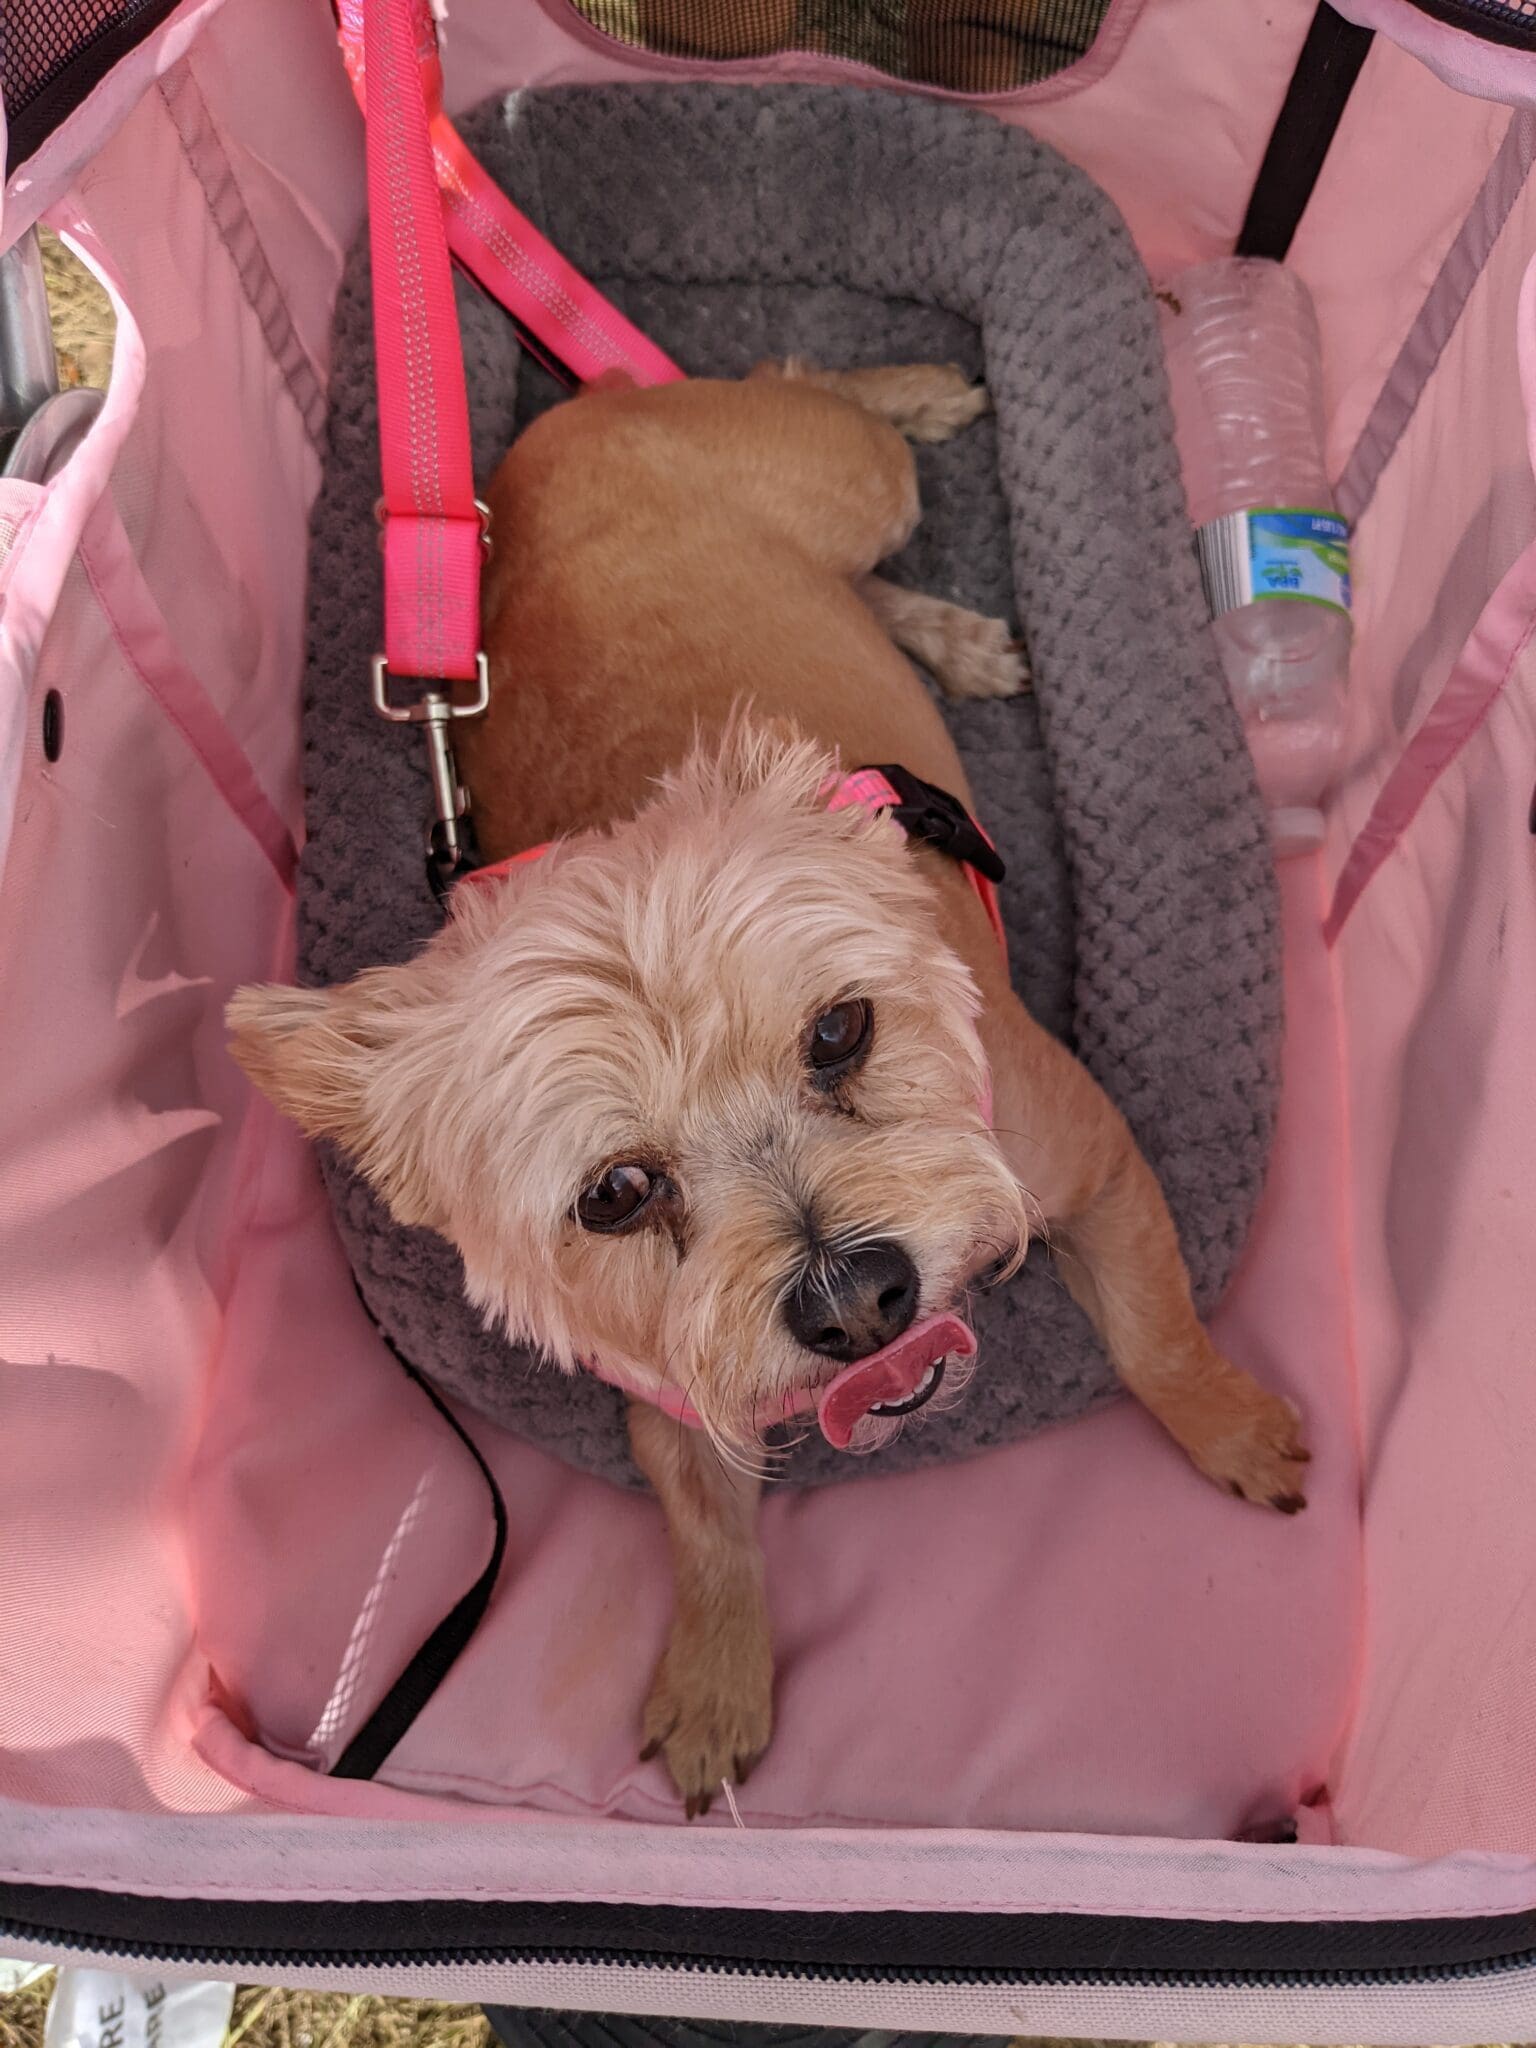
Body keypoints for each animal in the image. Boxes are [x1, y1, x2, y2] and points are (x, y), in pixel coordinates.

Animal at [231, 360, 1310, 1818]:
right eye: (616, 1193)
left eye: (842, 1030)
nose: (857, 1305)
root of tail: (543, 453)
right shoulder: (674, 1394)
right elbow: (708, 1538)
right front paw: (718, 1678)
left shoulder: (1097, 1166)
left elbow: (1158, 1340)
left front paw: (1233, 1429)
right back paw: (946, 636)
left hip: (852, 474)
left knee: (807, 389)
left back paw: (913, 412)